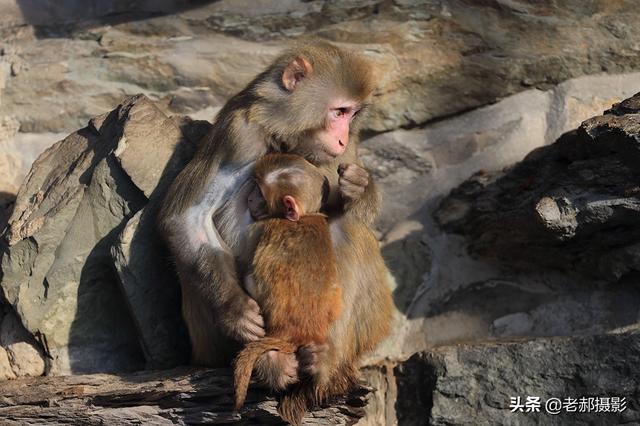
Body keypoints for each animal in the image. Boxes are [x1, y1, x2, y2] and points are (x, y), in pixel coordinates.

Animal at [159, 42, 390, 386]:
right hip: (210, 344)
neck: (284, 133)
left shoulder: (342, 155)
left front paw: (360, 188)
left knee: (349, 227)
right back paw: (270, 357)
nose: (342, 138)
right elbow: (188, 216)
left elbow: (344, 209)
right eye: (339, 112)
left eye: (352, 115)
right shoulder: (239, 133)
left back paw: (324, 358)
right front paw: (236, 311)